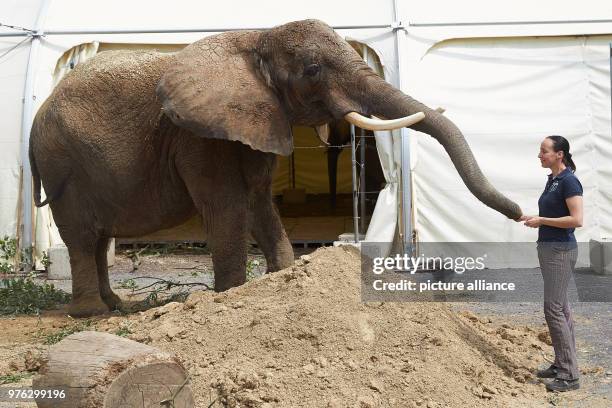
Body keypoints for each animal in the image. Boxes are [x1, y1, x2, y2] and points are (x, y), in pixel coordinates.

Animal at [28, 19, 524, 316]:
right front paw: (230, 297)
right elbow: (228, 205)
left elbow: (260, 201)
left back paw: (115, 305)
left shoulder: (260, 117)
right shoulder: (198, 137)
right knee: (81, 235)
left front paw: (283, 280)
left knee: (98, 238)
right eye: (313, 70)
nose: (520, 213)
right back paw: (93, 313)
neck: (256, 36)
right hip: (61, 162)